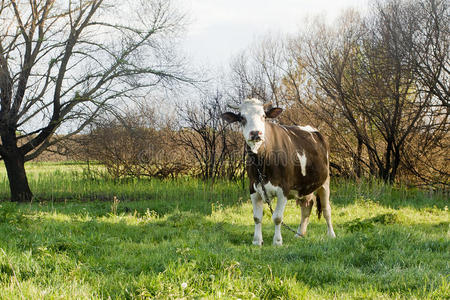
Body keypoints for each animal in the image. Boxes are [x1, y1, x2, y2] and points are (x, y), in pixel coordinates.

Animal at [221, 97, 334, 245]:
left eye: (264, 116)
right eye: (241, 117)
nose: (255, 133)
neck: (262, 161)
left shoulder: (283, 189)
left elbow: (277, 217)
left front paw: (277, 241)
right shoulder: (253, 188)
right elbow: (257, 217)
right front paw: (257, 241)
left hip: (325, 181)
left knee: (326, 209)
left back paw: (331, 234)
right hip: (305, 186)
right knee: (307, 206)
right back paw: (299, 234)